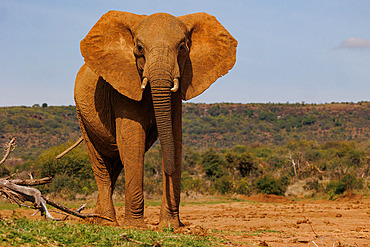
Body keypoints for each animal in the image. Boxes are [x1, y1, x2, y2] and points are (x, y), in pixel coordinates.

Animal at [75, 10, 237, 229]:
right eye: (139, 48)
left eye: (183, 47)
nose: (167, 170)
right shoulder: (123, 85)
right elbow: (132, 141)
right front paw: (135, 227)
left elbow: (174, 137)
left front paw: (169, 226)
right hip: (82, 115)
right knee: (101, 165)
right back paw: (108, 223)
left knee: (115, 167)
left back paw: (98, 220)